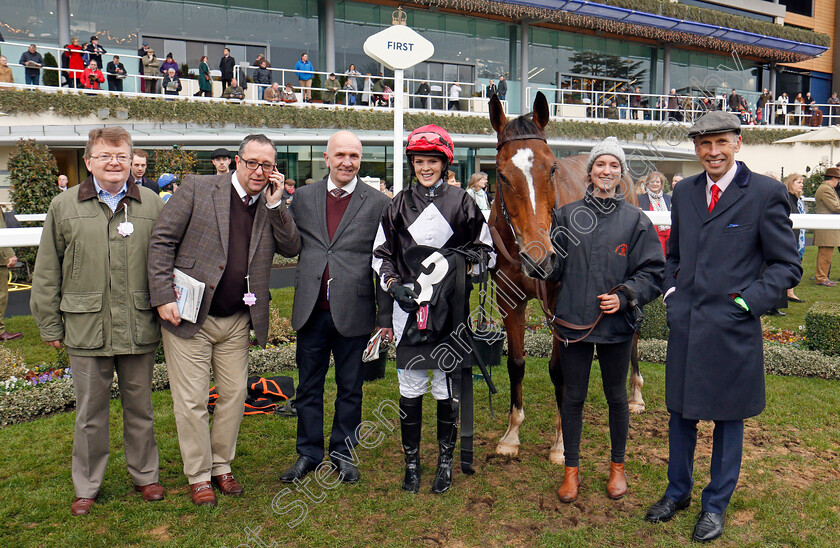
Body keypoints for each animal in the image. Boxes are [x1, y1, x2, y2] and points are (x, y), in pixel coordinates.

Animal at [488, 92, 648, 464]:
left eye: (551, 168)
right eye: (501, 174)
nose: (539, 259)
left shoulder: (561, 301)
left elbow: (560, 372)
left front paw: (562, 443)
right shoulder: (509, 299)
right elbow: (516, 363)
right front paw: (511, 435)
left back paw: (635, 394)